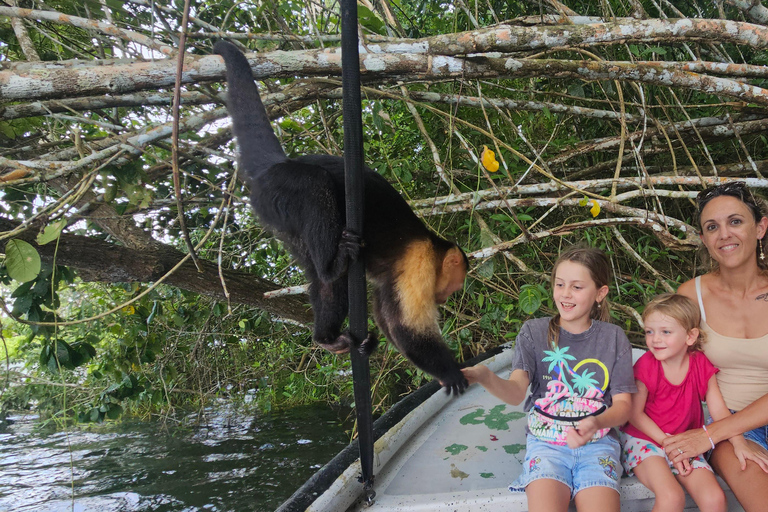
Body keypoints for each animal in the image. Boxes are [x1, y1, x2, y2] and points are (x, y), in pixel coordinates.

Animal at [213, 41, 472, 396]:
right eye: (456, 285)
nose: (447, 297)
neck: (432, 246)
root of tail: (276, 165)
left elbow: (388, 320)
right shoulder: (419, 261)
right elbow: (408, 328)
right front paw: (452, 373)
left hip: (281, 217)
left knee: (323, 282)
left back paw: (326, 337)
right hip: (281, 188)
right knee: (315, 187)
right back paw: (331, 266)